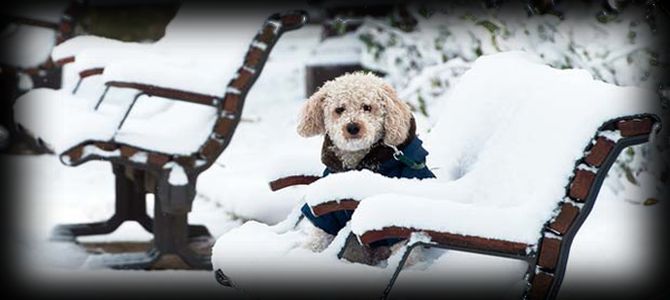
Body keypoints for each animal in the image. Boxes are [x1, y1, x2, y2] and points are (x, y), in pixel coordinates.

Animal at [296, 72, 436, 264]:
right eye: (339, 109)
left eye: (367, 107)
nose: (353, 127)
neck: (357, 166)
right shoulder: (327, 217)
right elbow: (319, 237)